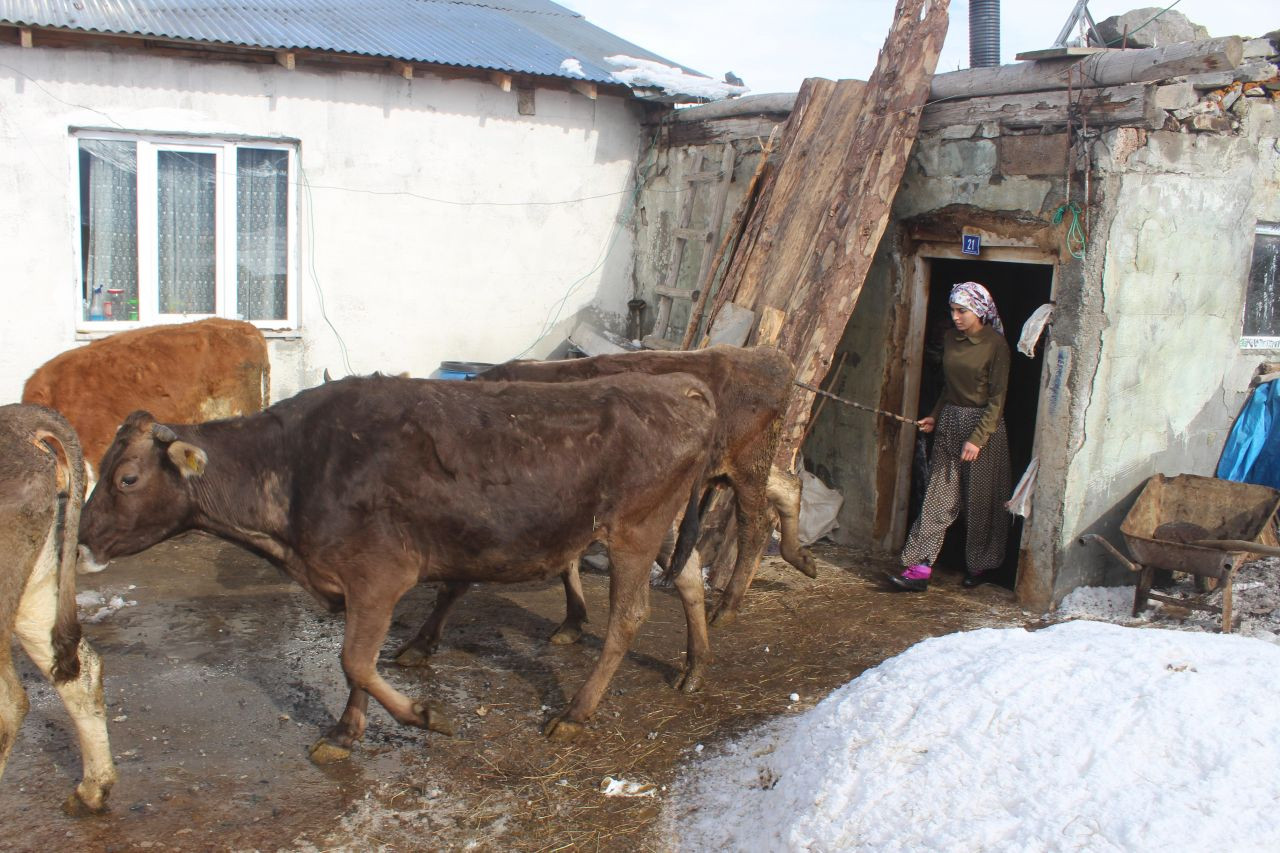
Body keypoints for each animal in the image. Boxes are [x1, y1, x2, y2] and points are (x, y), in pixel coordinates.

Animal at [77, 371, 721, 758]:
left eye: (126, 478)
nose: (80, 541)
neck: (294, 467)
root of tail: (675, 387)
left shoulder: (378, 577)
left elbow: (356, 661)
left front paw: (424, 715)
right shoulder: (358, 586)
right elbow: (354, 666)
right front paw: (345, 732)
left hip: (634, 531)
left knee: (628, 618)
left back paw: (576, 711)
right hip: (663, 528)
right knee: (690, 577)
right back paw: (694, 667)